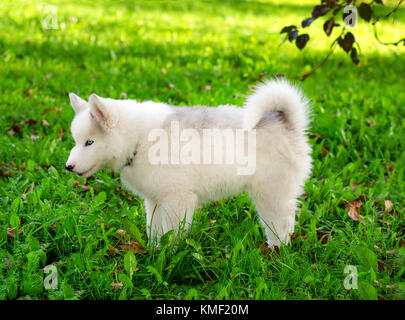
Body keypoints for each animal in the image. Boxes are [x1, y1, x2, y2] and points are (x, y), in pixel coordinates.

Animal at [67, 79, 312, 248]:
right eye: (76, 141)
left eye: (89, 142)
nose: (68, 167)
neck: (140, 139)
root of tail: (287, 123)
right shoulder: (155, 199)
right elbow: (154, 228)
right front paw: (154, 250)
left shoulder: (177, 199)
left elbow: (173, 232)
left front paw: (169, 254)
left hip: (270, 194)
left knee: (280, 224)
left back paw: (276, 250)